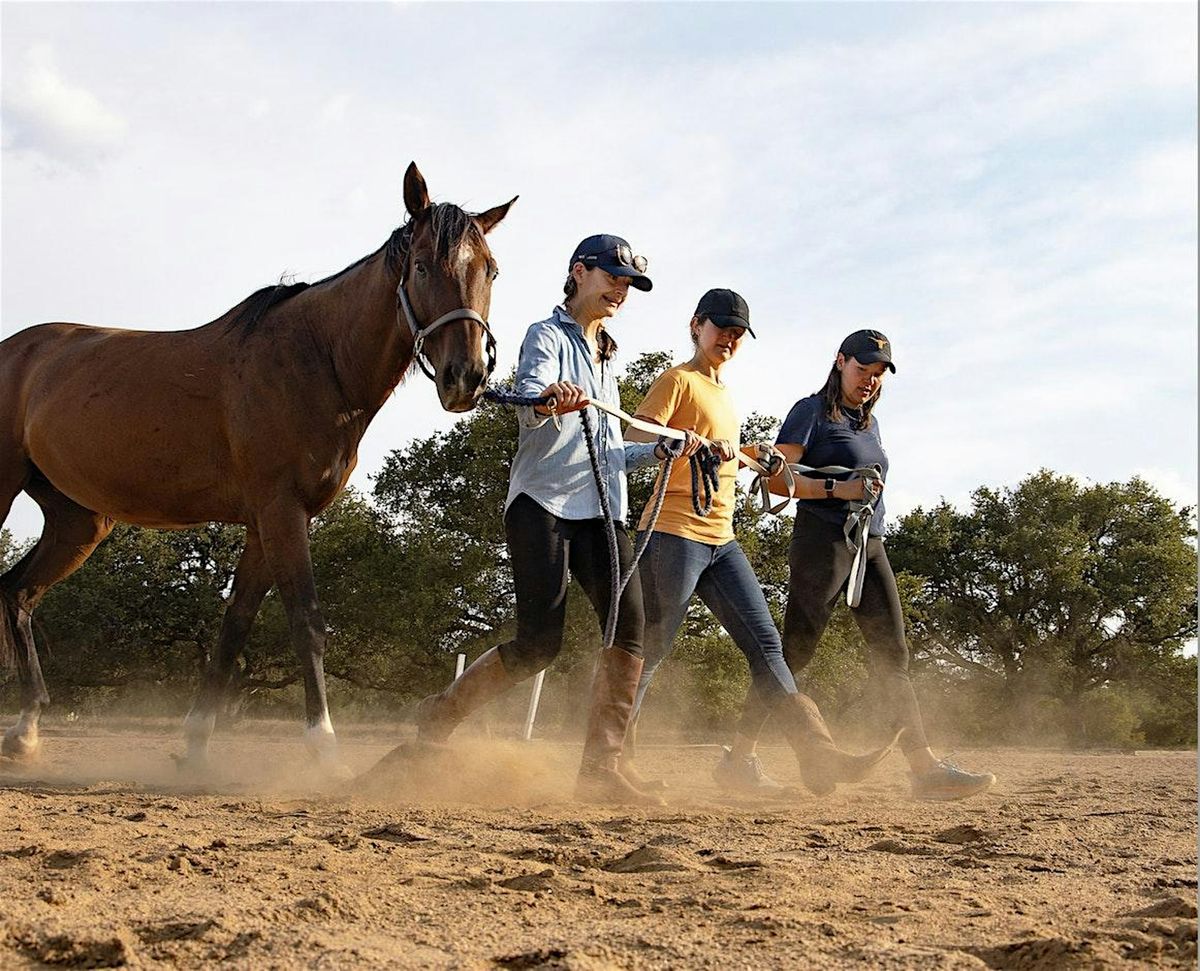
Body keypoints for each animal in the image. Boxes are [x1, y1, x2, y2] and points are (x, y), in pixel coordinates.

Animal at [0, 163, 516, 777]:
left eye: (491, 269)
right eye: (420, 265)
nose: (467, 377)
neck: (315, 360)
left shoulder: (265, 524)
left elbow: (234, 624)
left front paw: (196, 744)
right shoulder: (280, 512)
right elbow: (306, 620)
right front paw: (323, 748)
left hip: (77, 521)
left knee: (18, 594)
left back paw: (25, 732)